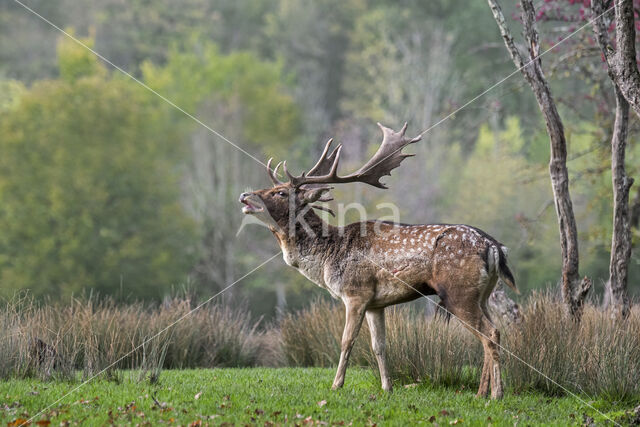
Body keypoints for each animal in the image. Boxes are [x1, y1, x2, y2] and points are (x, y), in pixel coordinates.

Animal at [238, 122, 516, 400]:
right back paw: (481, 393)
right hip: (483, 294)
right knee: (491, 331)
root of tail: (494, 247)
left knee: (490, 333)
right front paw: (387, 387)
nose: (244, 195)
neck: (327, 257)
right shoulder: (376, 303)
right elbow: (379, 345)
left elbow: (346, 340)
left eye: (280, 192)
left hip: (459, 291)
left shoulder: (355, 292)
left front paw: (336, 385)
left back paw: (496, 394)